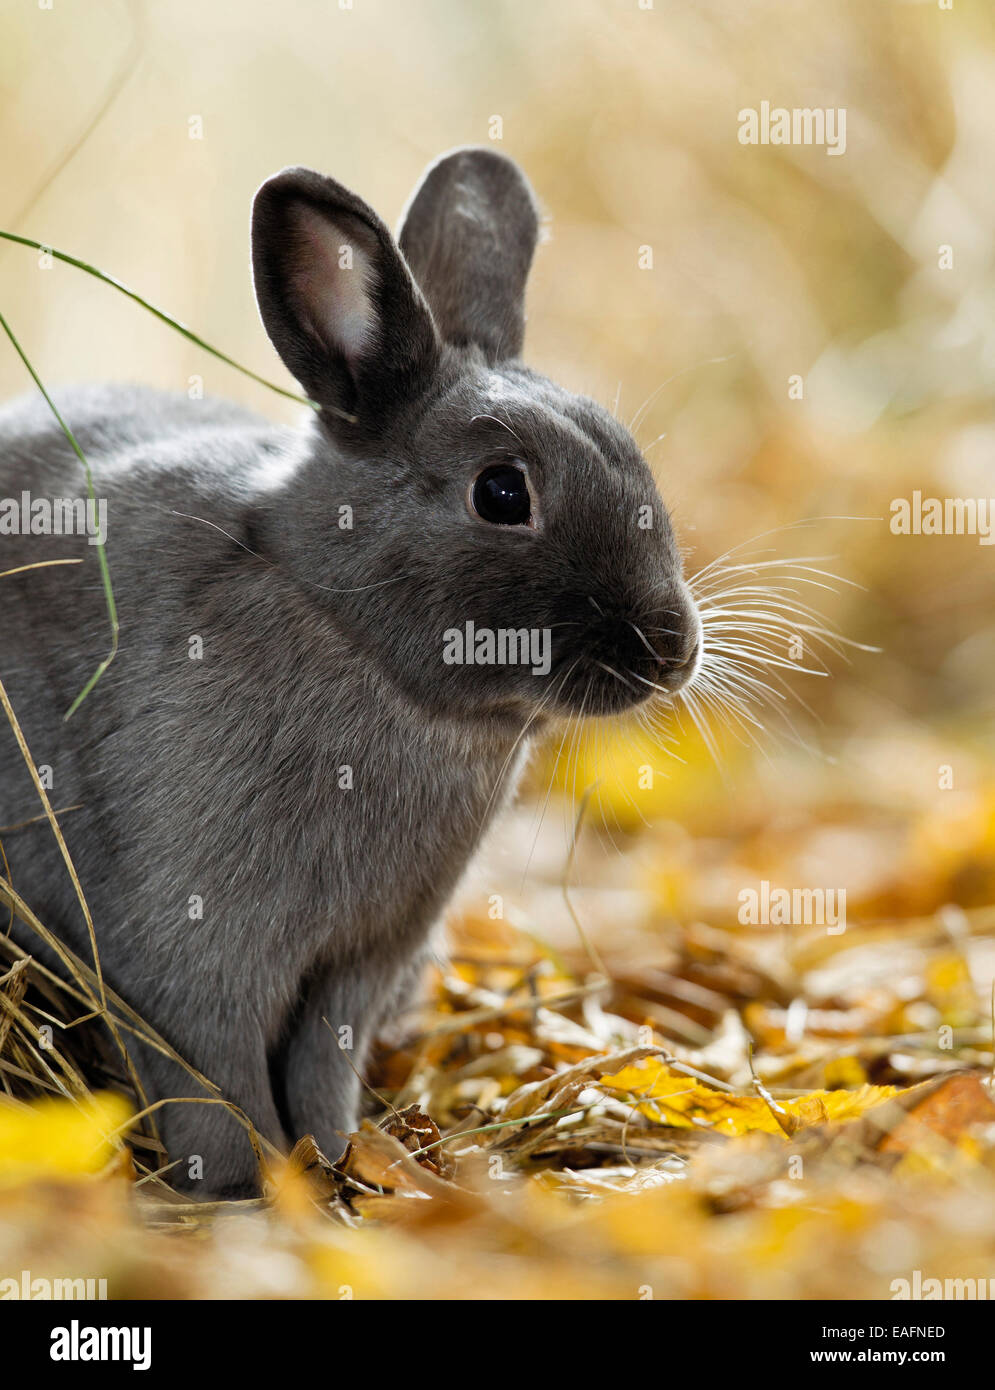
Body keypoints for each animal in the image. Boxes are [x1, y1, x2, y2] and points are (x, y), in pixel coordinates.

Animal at [0, 149, 700, 1195]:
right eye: (502, 492)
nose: (669, 649)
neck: (345, 631)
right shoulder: (188, 953)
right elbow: (214, 1079)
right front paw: (251, 1187)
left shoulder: (359, 965)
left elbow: (322, 1065)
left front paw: (339, 1163)